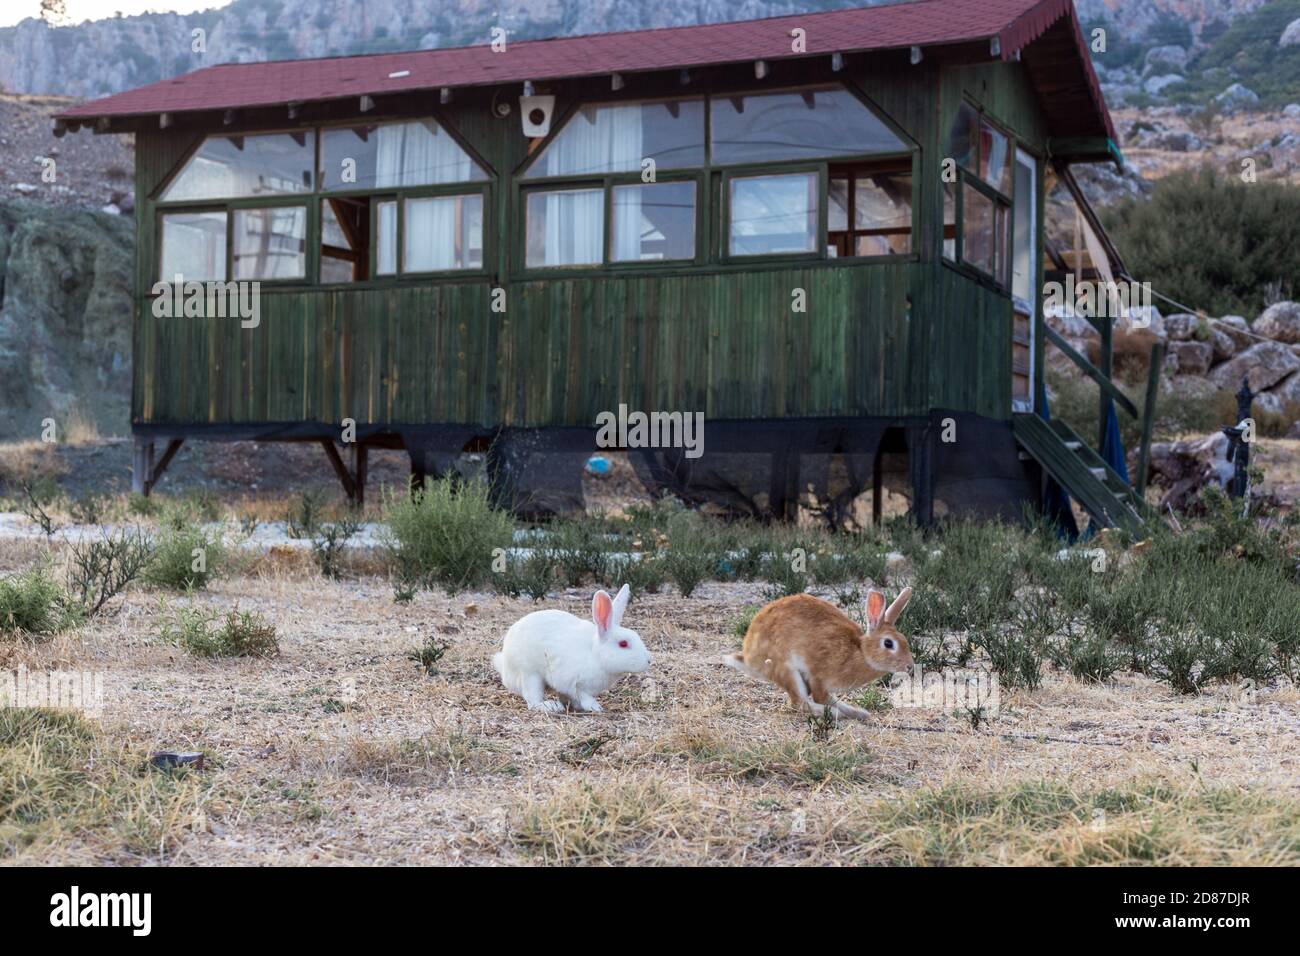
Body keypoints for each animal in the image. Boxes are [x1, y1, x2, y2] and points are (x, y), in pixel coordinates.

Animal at [493, 584, 652, 713]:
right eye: (623, 644)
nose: (649, 660)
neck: (595, 655)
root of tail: (505, 668)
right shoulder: (574, 683)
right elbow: (583, 696)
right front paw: (596, 707)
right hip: (529, 675)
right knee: (532, 700)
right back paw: (551, 706)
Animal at [723, 587, 913, 721]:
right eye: (888, 643)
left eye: (905, 639)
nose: (910, 666)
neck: (861, 651)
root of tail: (750, 657)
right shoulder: (818, 678)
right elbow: (822, 697)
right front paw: (838, 712)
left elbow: (830, 699)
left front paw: (859, 713)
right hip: (786, 670)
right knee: (797, 703)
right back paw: (832, 713)